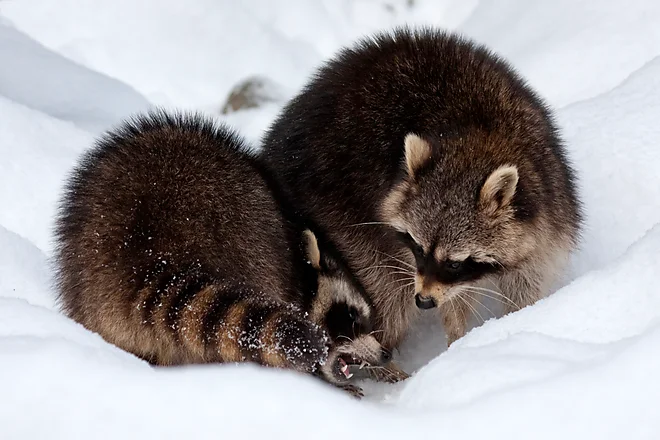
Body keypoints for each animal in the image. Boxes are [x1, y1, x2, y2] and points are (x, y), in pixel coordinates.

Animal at [261, 27, 582, 348]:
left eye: (455, 263)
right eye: (417, 247)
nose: (424, 301)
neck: (479, 137)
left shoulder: (549, 204)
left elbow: (526, 280)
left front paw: (519, 318)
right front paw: (457, 341)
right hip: (339, 213)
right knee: (387, 293)